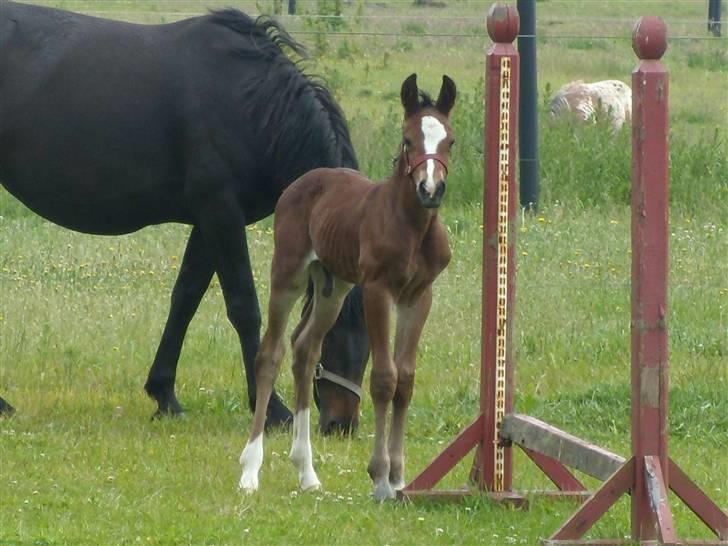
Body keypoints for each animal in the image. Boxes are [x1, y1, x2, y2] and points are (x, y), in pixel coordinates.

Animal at [1, 2, 370, 432]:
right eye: (338, 332)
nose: (342, 425)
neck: (253, 104)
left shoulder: (210, 220)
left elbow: (185, 299)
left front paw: (164, 395)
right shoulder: (219, 211)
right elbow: (244, 306)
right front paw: (272, 409)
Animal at [239, 74, 456, 500]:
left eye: (449, 141)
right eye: (408, 139)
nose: (430, 189)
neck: (412, 227)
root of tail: (304, 180)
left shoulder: (419, 296)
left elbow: (406, 379)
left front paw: (400, 478)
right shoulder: (377, 290)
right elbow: (385, 378)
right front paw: (380, 478)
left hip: (332, 289)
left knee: (305, 351)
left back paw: (306, 472)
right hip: (288, 274)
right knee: (270, 354)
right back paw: (250, 470)